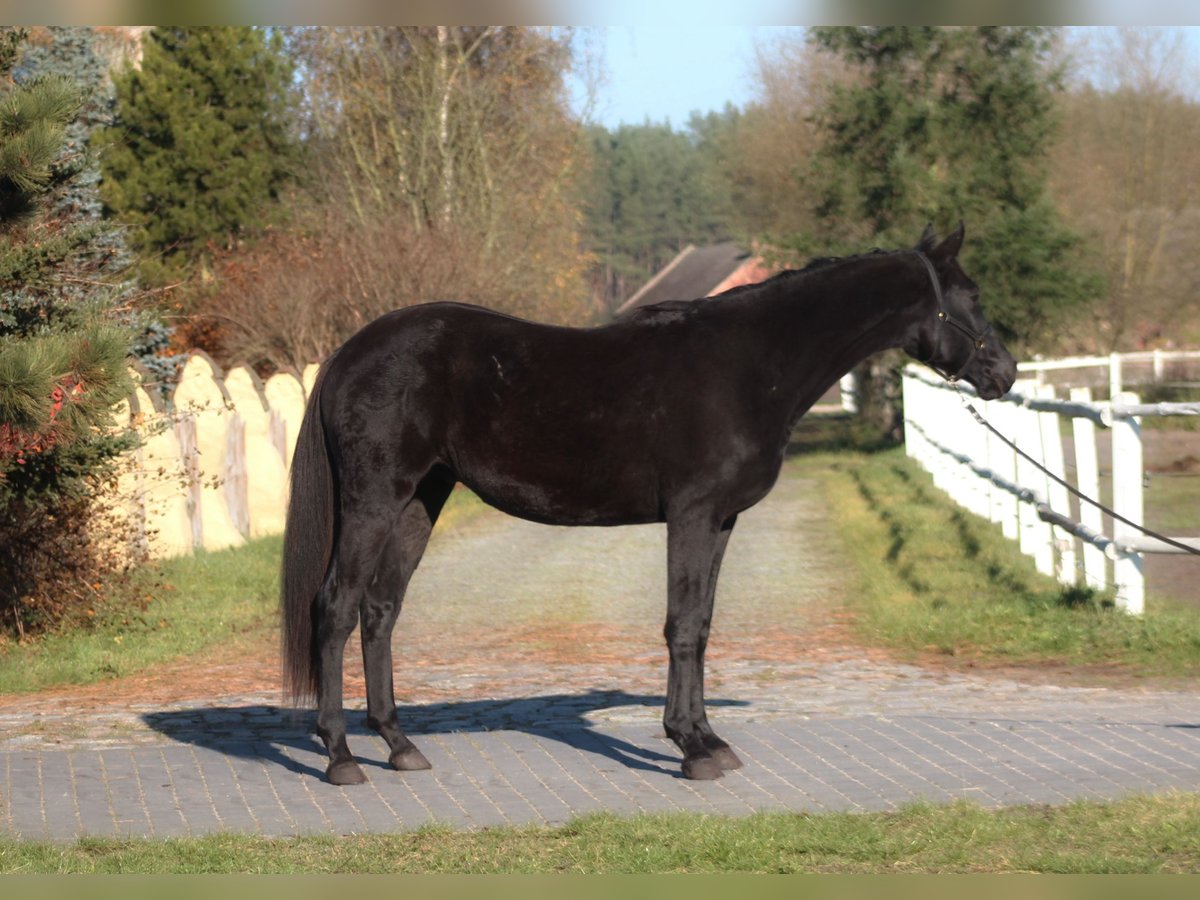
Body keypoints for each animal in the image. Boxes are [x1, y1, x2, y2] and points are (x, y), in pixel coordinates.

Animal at [281, 223, 1018, 785]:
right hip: (374, 501)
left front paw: (707, 738)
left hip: (419, 501)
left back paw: (399, 745)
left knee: (380, 611)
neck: (751, 363)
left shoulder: (721, 520)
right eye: (971, 296)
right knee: (336, 608)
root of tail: (348, 353)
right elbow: (681, 626)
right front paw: (692, 749)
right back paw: (341, 757)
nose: (1005, 374)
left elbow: (702, 625)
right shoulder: (691, 515)